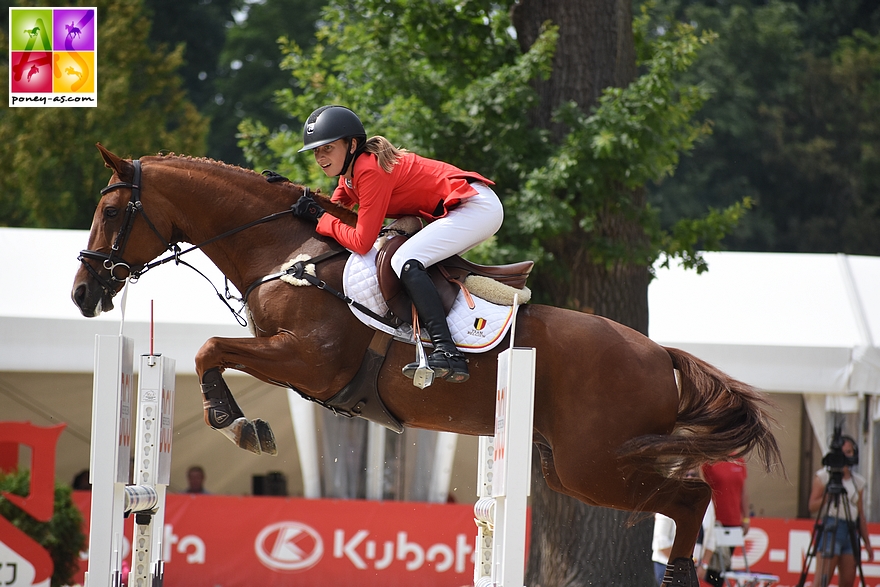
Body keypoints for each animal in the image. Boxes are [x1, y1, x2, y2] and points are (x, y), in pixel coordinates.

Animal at [72, 144, 780, 587]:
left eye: (110, 211)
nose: (82, 296)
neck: (287, 251)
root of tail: (660, 353)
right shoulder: (293, 363)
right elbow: (211, 352)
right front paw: (242, 421)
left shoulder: (306, 360)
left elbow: (208, 350)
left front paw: (239, 424)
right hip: (579, 470)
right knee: (687, 498)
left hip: (597, 464)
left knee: (691, 497)